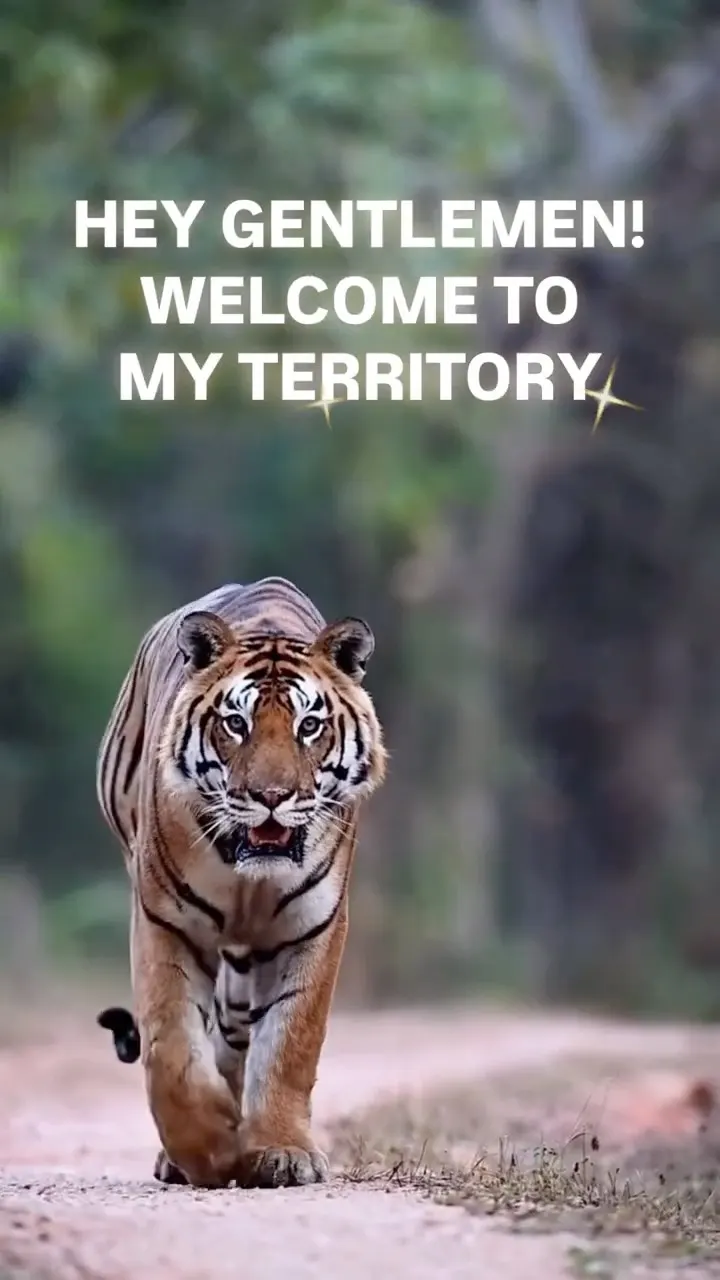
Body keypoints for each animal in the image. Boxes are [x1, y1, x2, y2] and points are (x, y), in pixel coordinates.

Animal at [95, 577, 386, 1190]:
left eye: (309, 726)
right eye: (236, 723)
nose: (271, 796)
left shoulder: (313, 927)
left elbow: (290, 1044)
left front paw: (281, 1151)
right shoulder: (164, 920)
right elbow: (172, 1047)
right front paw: (209, 1151)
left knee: (236, 1035)